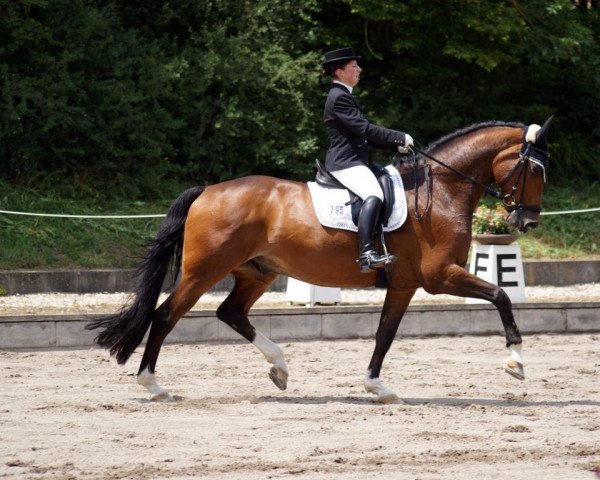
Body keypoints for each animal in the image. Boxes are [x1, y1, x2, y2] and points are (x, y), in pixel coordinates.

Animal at [88, 116, 552, 402]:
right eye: (536, 170)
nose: (526, 220)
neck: (441, 191)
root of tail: (207, 191)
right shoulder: (440, 277)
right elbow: (500, 295)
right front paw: (516, 361)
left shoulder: (404, 284)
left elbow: (385, 334)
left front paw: (376, 387)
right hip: (203, 272)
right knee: (166, 315)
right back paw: (153, 385)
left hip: (255, 273)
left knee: (231, 313)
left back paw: (279, 368)